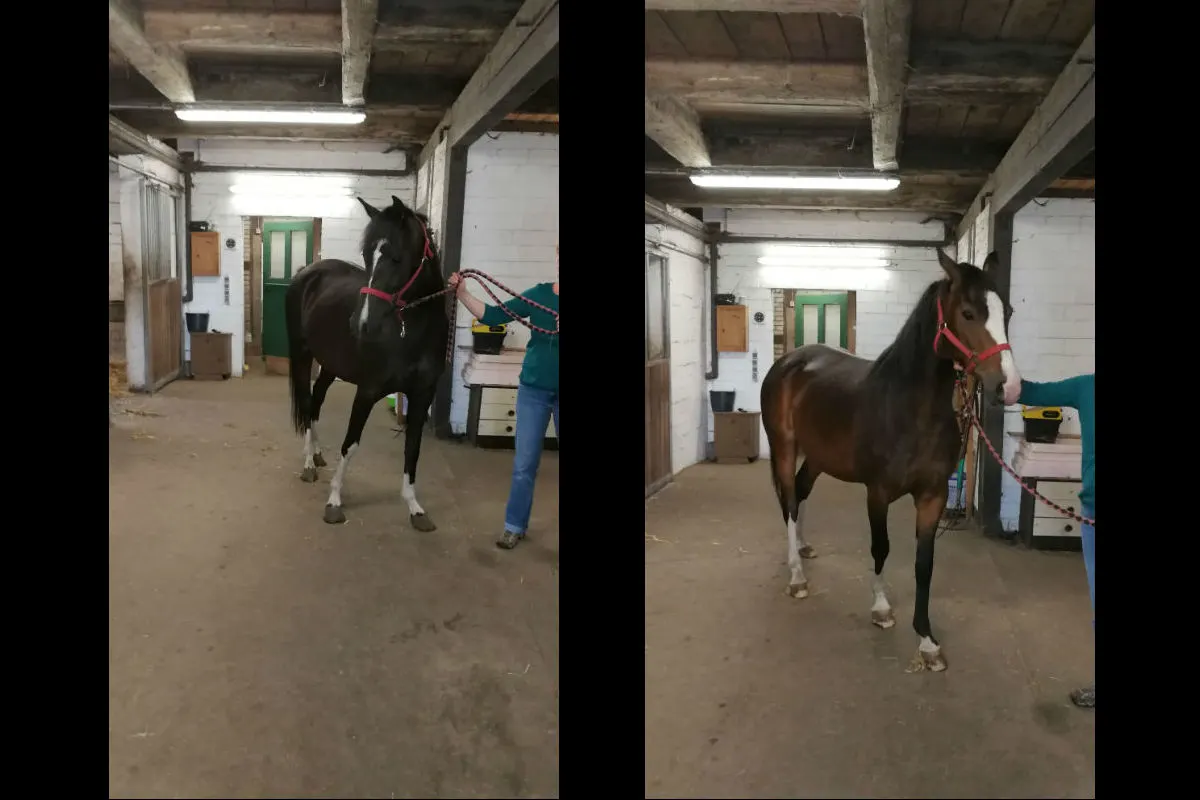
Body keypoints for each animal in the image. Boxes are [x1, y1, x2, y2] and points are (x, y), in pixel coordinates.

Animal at [284, 195, 450, 531]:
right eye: (366, 254)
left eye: (396, 257)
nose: (360, 324)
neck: (411, 334)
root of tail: (307, 272)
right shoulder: (368, 390)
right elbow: (351, 444)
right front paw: (334, 501)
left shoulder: (422, 395)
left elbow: (413, 447)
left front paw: (415, 508)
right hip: (303, 356)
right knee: (307, 404)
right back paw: (308, 464)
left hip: (330, 366)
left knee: (316, 401)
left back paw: (317, 454)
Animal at [759, 249, 1021, 672]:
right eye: (967, 313)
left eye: (1007, 311)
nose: (1009, 387)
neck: (910, 409)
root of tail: (790, 362)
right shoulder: (877, 493)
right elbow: (880, 548)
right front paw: (881, 608)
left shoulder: (932, 496)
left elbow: (924, 564)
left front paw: (927, 641)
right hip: (783, 447)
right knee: (788, 503)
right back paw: (797, 576)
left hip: (818, 457)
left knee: (799, 493)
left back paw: (804, 547)